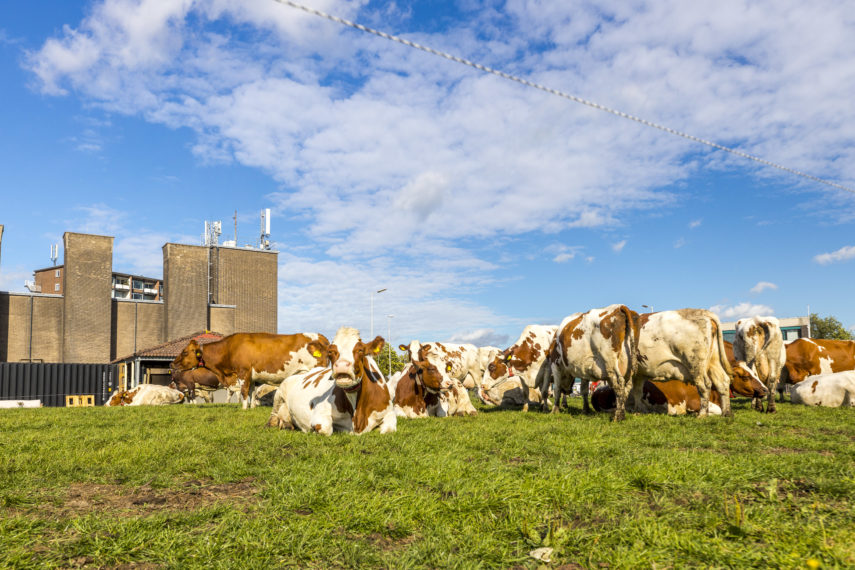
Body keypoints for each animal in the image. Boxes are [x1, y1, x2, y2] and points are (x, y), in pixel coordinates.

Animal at [169, 330, 330, 406]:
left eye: (184, 352)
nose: (172, 363)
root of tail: (320, 337)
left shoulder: (243, 372)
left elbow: (244, 391)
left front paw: (244, 408)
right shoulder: (252, 376)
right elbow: (252, 391)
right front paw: (252, 408)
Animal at [268, 326, 398, 432]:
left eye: (360, 350)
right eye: (330, 351)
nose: (342, 365)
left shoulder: (389, 412)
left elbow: (389, 429)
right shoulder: (320, 412)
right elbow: (325, 428)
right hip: (279, 392)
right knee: (274, 414)